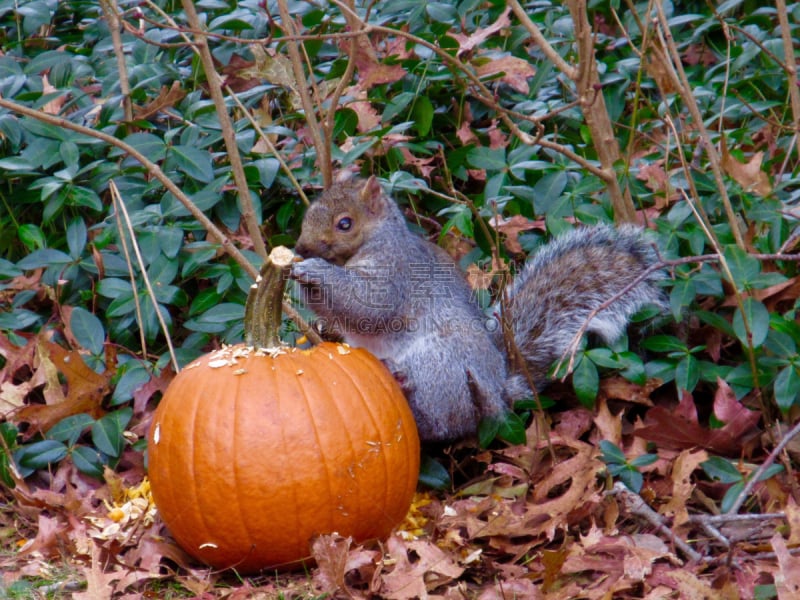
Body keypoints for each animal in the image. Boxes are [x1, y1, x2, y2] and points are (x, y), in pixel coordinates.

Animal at [290, 176, 664, 442]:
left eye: (345, 223)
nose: (300, 247)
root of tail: (499, 389)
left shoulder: (395, 272)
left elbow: (368, 303)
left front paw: (313, 270)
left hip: (440, 367)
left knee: (443, 423)